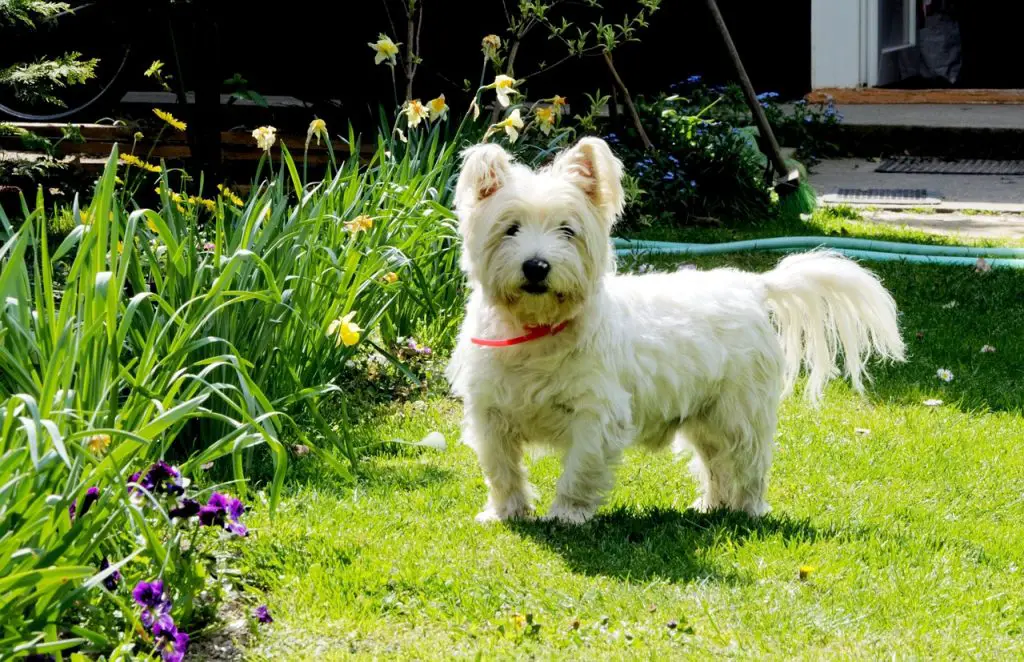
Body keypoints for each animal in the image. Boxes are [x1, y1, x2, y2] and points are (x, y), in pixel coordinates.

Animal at [448, 137, 905, 524]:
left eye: (568, 230)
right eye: (510, 228)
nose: (537, 266)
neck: (537, 332)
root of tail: (753, 285)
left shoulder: (596, 415)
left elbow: (579, 469)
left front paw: (567, 515)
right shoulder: (490, 413)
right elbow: (502, 469)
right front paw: (505, 513)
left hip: (740, 411)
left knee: (748, 462)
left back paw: (746, 511)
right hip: (705, 417)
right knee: (716, 463)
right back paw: (711, 507)